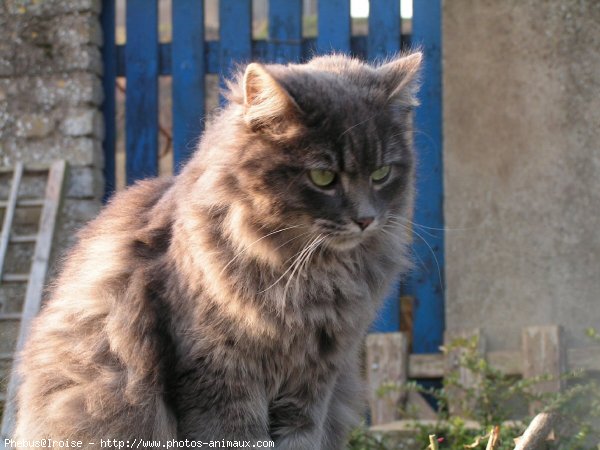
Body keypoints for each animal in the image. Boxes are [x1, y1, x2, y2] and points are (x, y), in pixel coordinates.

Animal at [10, 51, 422, 448]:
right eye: (323, 177)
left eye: (381, 174)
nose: (366, 219)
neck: (306, 275)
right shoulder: (217, 374)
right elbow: (236, 436)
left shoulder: (314, 382)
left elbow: (302, 438)